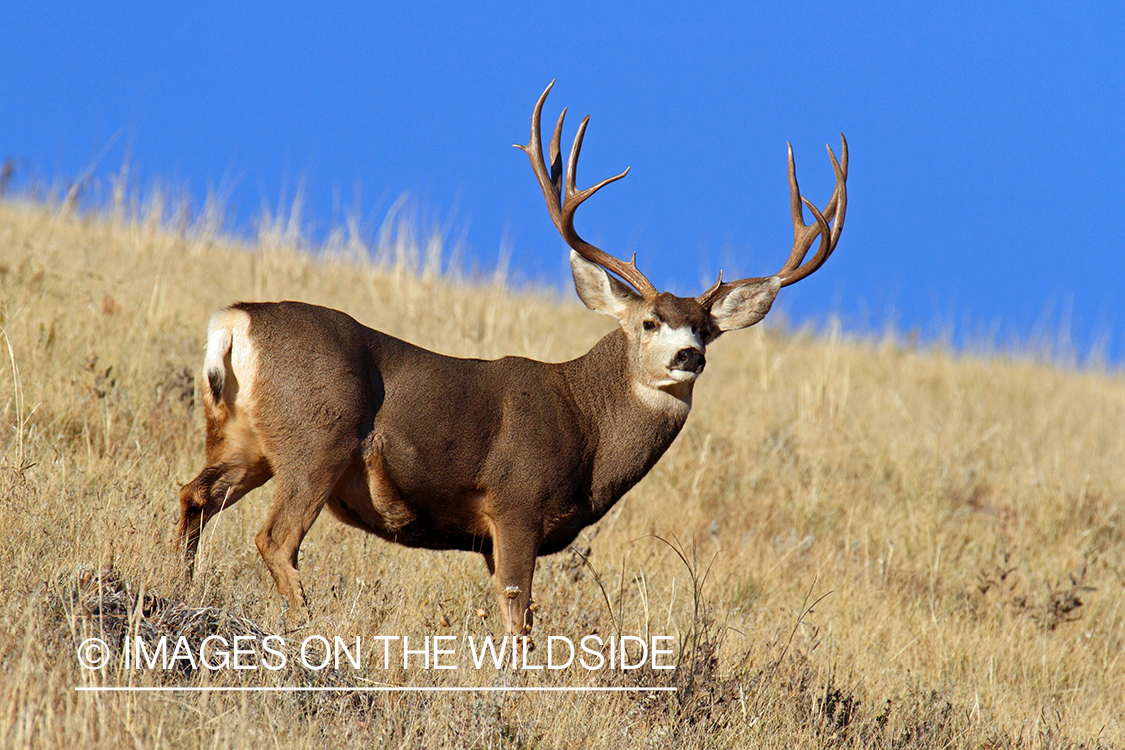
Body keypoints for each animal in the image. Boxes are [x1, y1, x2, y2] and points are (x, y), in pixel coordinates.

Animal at [177, 82, 846, 638]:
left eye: (707, 329)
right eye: (650, 321)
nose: (688, 355)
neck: (586, 423)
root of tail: (235, 320)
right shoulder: (516, 502)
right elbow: (519, 619)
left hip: (241, 438)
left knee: (193, 497)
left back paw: (181, 593)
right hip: (318, 438)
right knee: (274, 537)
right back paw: (309, 628)